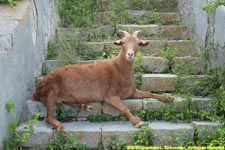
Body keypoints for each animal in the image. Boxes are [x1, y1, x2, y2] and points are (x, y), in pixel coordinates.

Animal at [33, 30, 174, 130]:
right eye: (122, 43)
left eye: (138, 43)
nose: (130, 54)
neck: (120, 70)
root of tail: (35, 93)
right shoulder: (109, 95)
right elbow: (124, 108)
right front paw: (137, 121)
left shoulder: (132, 92)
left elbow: (148, 93)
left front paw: (168, 98)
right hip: (51, 89)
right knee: (48, 115)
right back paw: (58, 125)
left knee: (64, 101)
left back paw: (85, 106)